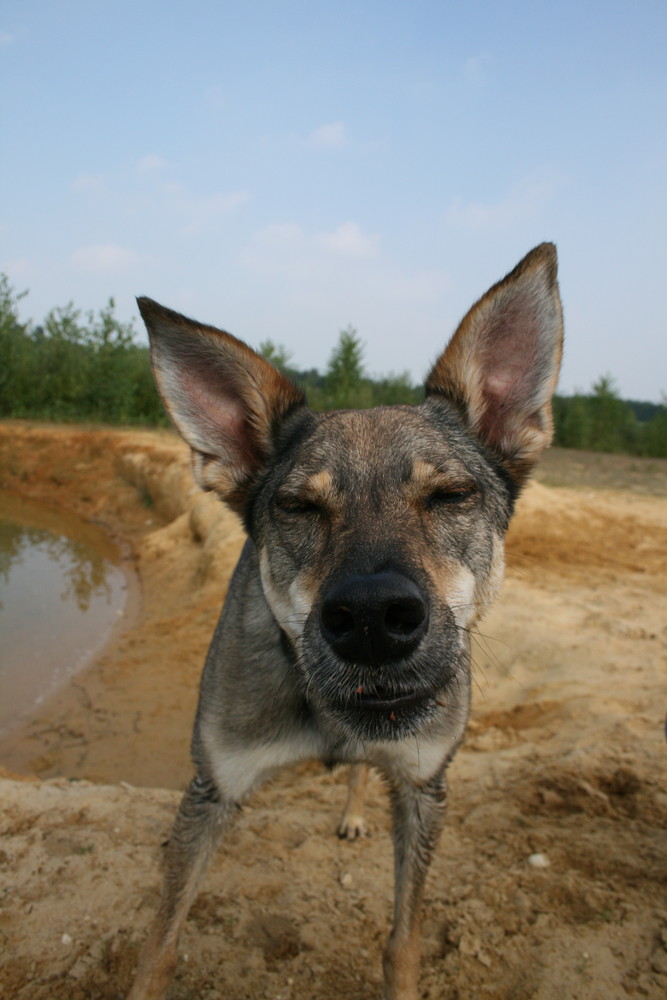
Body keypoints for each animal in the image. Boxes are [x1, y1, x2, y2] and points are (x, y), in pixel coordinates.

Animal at [126, 244, 564, 1000]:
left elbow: (403, 943)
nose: (371, 618)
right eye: (299, 508)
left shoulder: (424, 788)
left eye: (451, 495)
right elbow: (159, 947)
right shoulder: (212, 789)